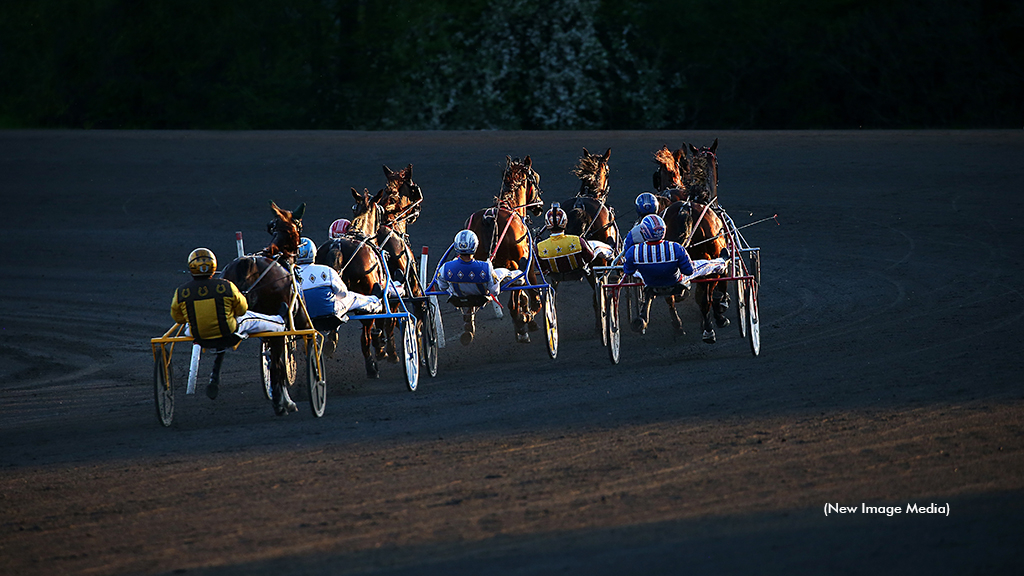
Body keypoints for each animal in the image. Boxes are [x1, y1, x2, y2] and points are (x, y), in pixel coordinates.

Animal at [218, 200, 305, 412]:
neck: (280, 255)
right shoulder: (283, 330)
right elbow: (279, 364)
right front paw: (284, 401)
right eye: (299, 224)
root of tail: (247, 263)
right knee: (277, 365)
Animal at [313, 187, 393, 377]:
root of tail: (337, 246)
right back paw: (371, 365)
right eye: (380, 210)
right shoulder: (378, 292)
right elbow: (379, 321)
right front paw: (380, 348)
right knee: (365, 336)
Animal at [464, 153, 544, 340]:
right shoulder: (525, 260)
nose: (539, 205)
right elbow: (530, 296)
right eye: (536, 178)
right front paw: (527, 317)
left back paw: (468, 327)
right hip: (517, 262)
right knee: (516, 297)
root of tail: (490, 217)